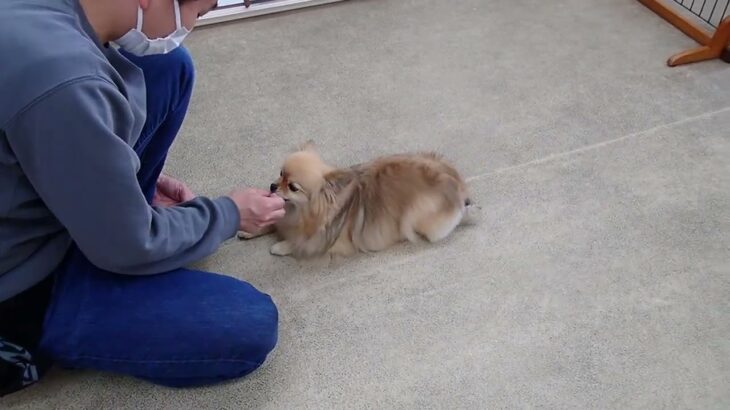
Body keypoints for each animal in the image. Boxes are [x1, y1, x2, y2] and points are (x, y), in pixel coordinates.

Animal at [242, 143, 474, 258]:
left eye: (292, 187)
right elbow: (273, 222)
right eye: (280, 173)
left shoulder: (328, 240)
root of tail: (457, 183)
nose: (272, 186)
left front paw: (281, 246)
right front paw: (250, 229)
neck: (300, 213)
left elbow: (302, 243)